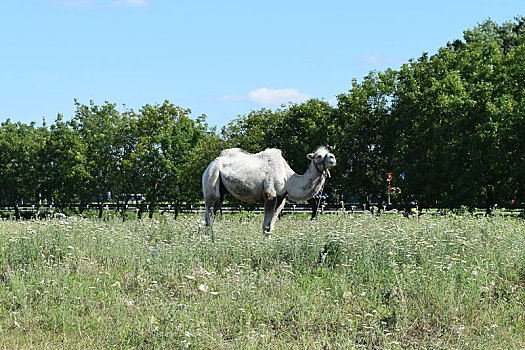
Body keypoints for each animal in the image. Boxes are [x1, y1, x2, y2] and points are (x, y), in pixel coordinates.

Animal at [201, 146, 336, 237]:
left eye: (328, 153)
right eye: (319, 156)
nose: (333, 158)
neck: (288, 179)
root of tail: (210, 165)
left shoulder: (281, 199)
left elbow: (270, 226)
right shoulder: (270, 195)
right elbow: (266, 226)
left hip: (221, 191)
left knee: (212, 216)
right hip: (212, 178)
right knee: (208, 216)